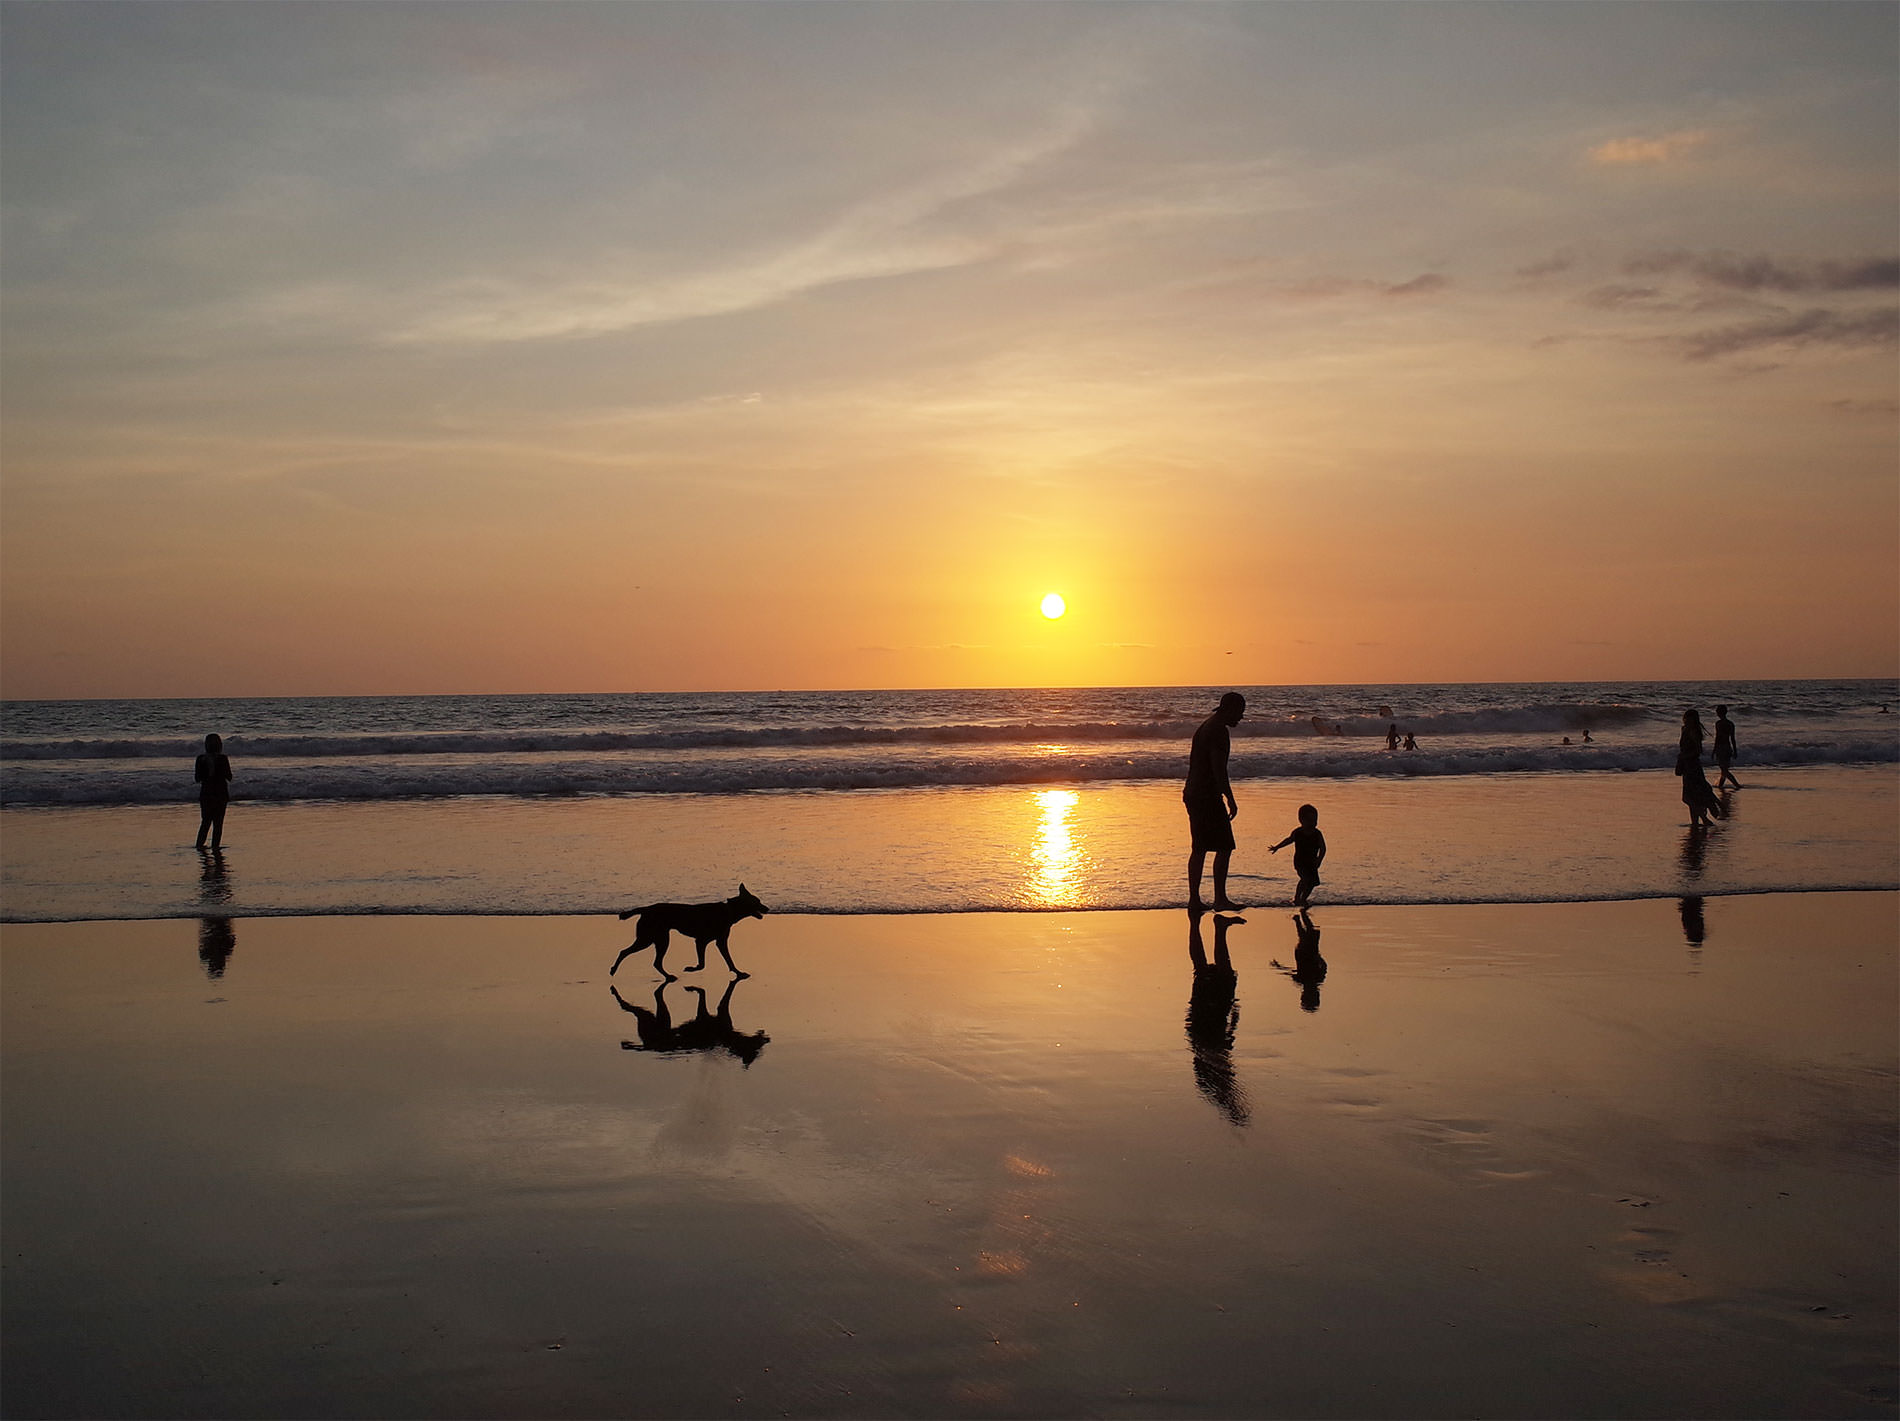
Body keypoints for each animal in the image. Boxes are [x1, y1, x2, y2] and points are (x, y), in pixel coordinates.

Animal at [604, 881, 760, 980]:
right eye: (757, 902)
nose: (765, 908)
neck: (729, 910)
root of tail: (646, 909)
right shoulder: (701, 941)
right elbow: (702, 964)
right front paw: (691, 968)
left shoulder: (718, 942)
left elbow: (729, 961)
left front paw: (739, 973)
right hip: (650, 939)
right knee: (626, 952)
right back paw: (613, 970)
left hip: (658, 939)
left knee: (656, 962)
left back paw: (668, 976)